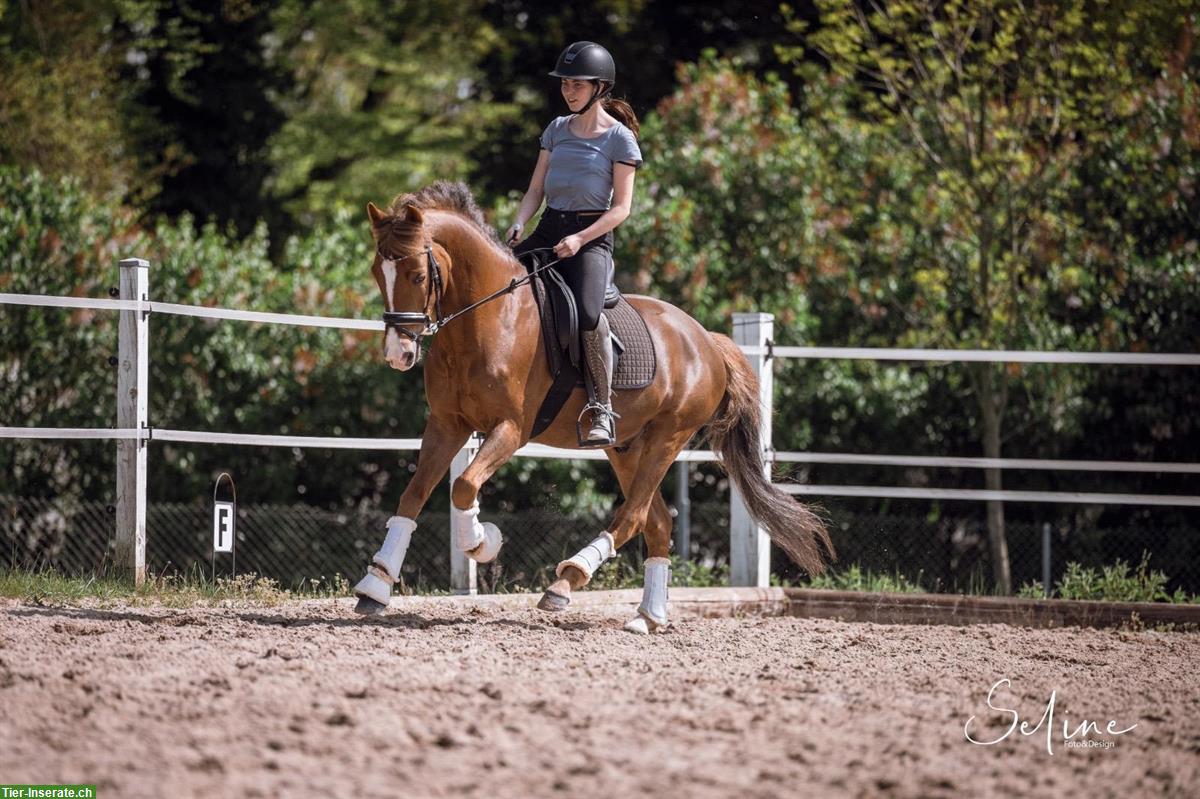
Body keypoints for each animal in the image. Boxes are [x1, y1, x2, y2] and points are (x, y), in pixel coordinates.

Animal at [350, 183, 830, 633]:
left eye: (416, 274)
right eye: (377, 272)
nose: (397, 354)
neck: (488, 319)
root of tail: (706, 339)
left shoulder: (511, 429)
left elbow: (464, 486)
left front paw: (483, 542)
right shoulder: (447, 424)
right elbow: (414, 495)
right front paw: (375, 586)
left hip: (668, 436)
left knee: (633, 516)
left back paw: (567, 581)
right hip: (626, 447)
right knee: (656, 523)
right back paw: (647, 616)